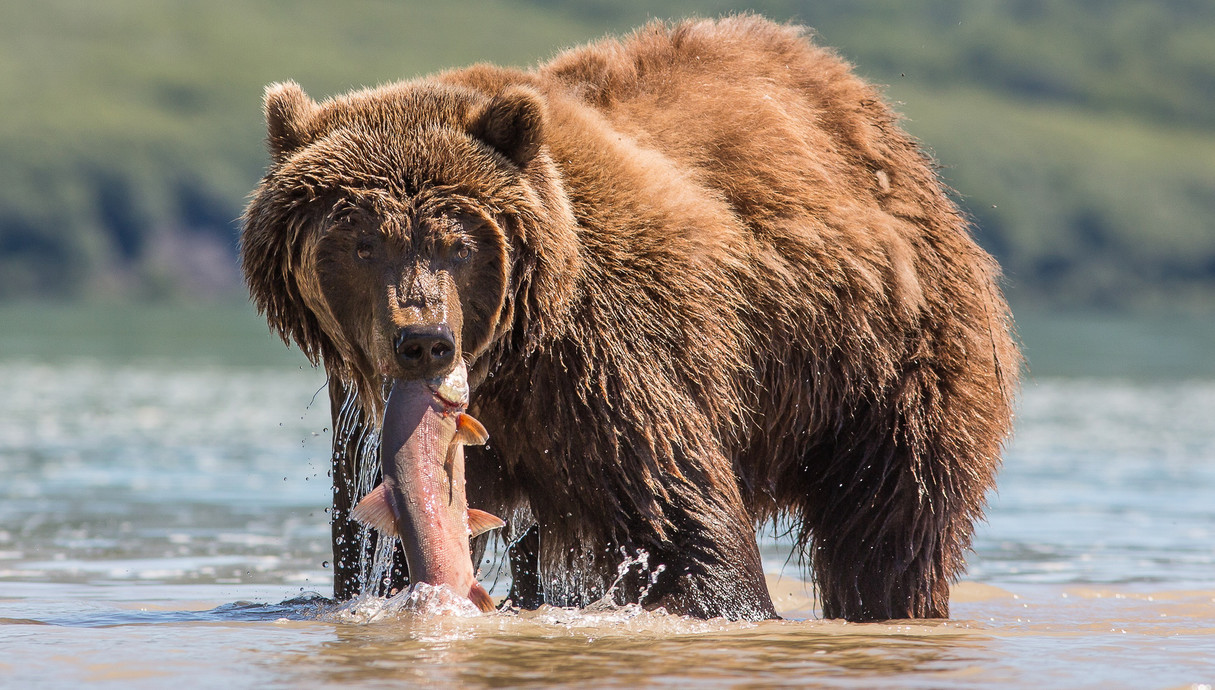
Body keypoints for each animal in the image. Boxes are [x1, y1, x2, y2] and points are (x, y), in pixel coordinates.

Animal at [236, 14, 1015, 619]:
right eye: (361, 240)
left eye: (458, 244)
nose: (424, 342)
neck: (509, 359)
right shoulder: (371, 419)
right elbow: (376, 540)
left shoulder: (607, 367)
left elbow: (685, 526)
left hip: (884, 363)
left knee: (891, 527)